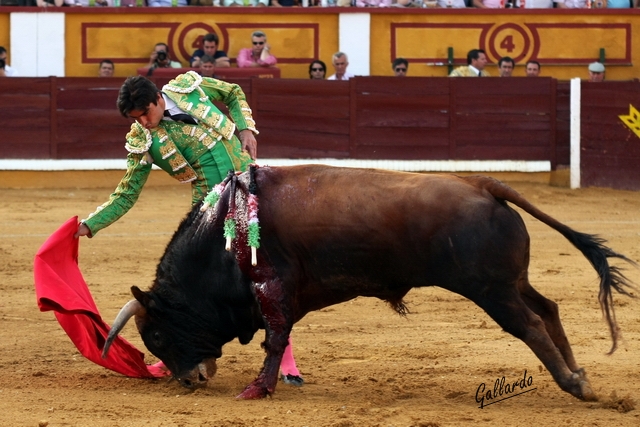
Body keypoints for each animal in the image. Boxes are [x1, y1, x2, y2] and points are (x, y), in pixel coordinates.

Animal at [102, 165, 632, 402]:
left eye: (156, 334)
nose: (188, 380)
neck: (223, 234)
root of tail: (482, 183)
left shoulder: (271, 289)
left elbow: (275, 339)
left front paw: (258, 389)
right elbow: (280, 338)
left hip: (492, 291)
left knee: (530, 326)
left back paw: (575, 385)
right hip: (511, 282)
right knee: (548, 309)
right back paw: (579, 373)